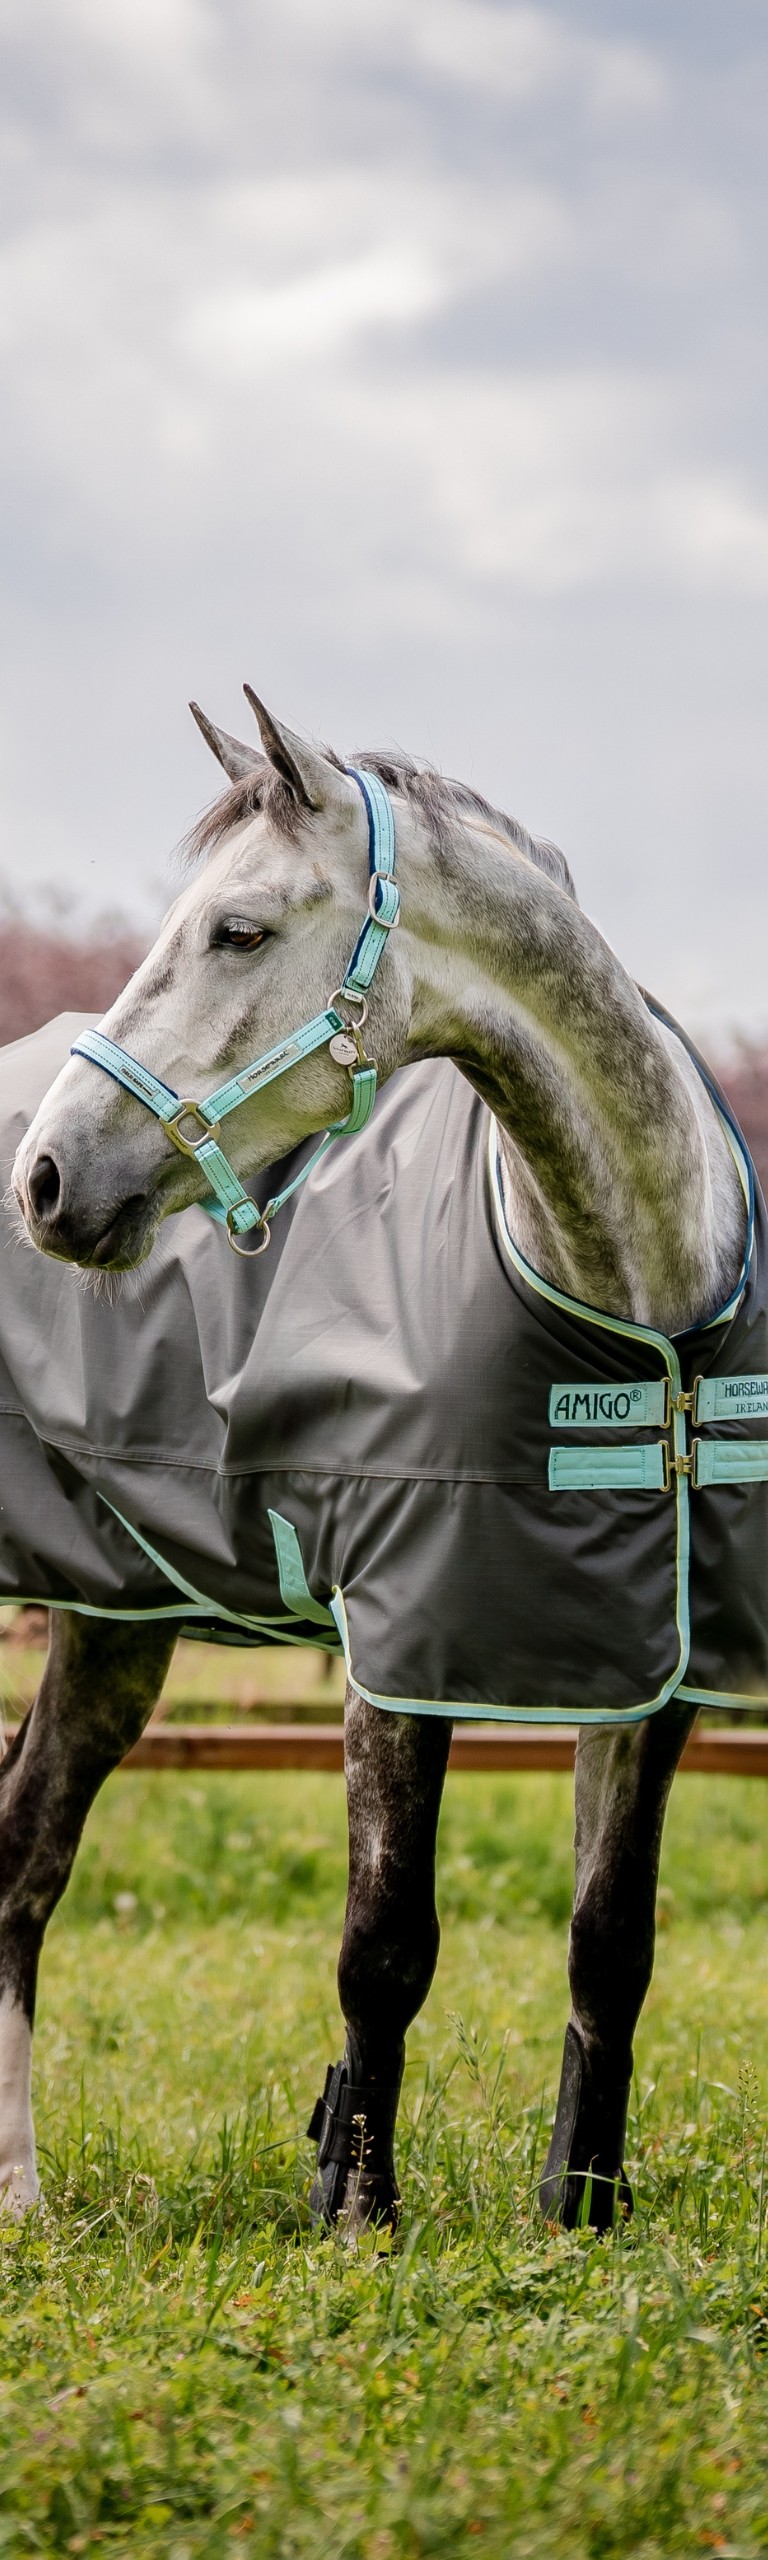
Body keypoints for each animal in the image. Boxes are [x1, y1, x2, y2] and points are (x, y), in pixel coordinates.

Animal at [3, 688, 753, 2236]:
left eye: (237, 931)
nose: (44, 1181)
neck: (632, 1309)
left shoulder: (655, 1670)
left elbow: (611, 1942)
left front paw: (577, 2215)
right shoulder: (398, 1651)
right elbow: (384, 1943)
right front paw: (358, 2212)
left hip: (113, 1624)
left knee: (21, 1859)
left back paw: (18, 2192)